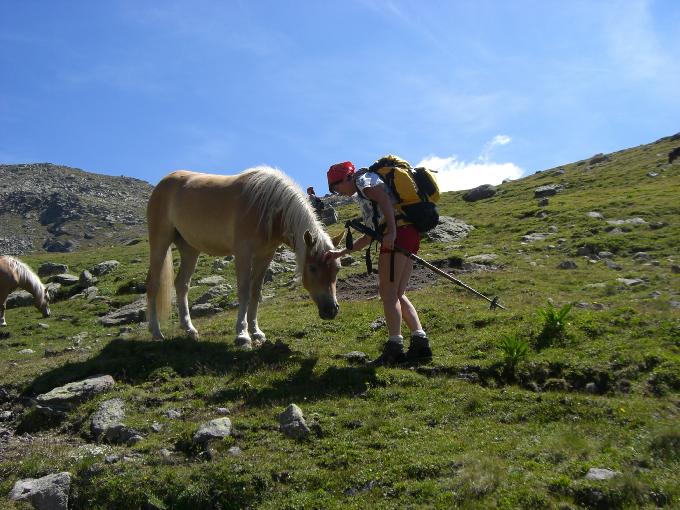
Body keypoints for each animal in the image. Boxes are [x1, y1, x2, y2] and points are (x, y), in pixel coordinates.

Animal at [145, 165, 342, 348]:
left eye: (337, 269)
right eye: (312, 268)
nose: (331, 310)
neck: (267, 207)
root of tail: (164, 182)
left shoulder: (265, 255)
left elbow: (256, 291)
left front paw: (256, 332)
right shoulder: (243, 253)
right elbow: (244, 291)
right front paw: (242, 334)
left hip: (190, 248)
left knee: (182, 284)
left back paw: (189, 329)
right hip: (160, 241)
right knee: (153, 284)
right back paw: (156, 333)